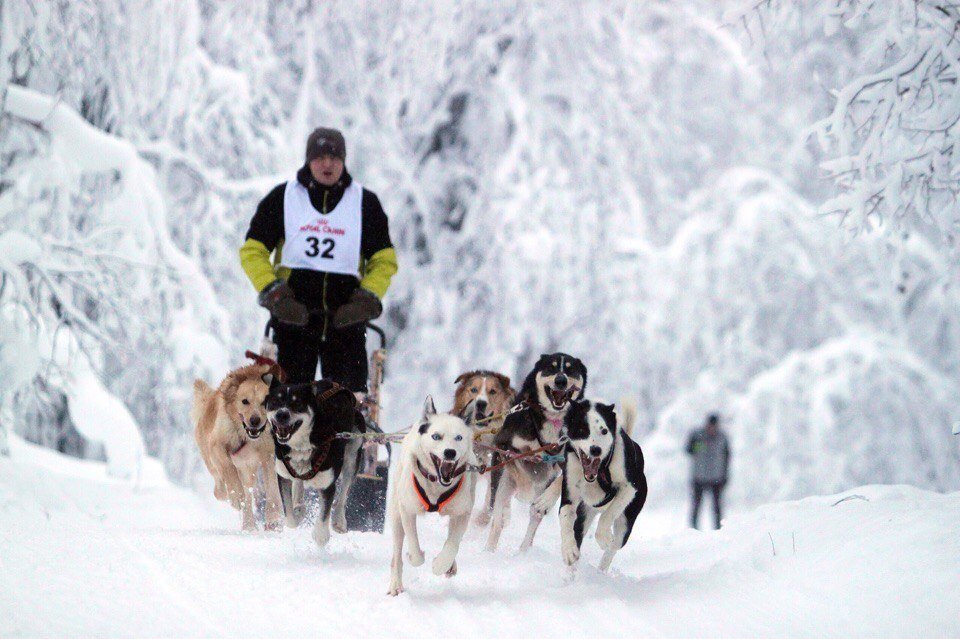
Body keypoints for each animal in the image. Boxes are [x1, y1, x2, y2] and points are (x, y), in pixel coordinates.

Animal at [193, 362, 284, 532]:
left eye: (265, 402)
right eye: (244, 401)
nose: (255, 420)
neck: (245, 436)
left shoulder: (267, 454)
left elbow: (272, 486)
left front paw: (273, 518)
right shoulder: (217, 445)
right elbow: (229, 469)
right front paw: (235, 496)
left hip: (248, 471)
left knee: (248, 495)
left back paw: (249, 525)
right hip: (211, 462)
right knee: (220, 487)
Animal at [388, 398, 478, 596]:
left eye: (458, 437)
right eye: (436, 436)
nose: (450, 452)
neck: (437, 486)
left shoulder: (462, 513)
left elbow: (452, 545)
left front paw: (440, 565)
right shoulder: (407, 510)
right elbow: (413, 544)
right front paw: (415, 556)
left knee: (452, 538)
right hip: (396, 515)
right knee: (396, 554)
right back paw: (395, 585)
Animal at [452, 370, 516, 524]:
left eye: (492, 391)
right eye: (473, 390)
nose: (480, 403)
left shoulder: (497, 465)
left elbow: (493, 494)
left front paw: (483, 519)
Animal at [560, 402, 648, 572]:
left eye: (604, 430)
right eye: (582, 430)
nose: (596, 449)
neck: (600, 470)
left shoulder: (628, 487)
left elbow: (608, 515)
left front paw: (603, 538)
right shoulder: (570, 494)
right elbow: (565, 517)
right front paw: (568, 551)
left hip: (625, 522)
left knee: (613, 548)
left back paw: (601, 568)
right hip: (584, 513)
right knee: (578, 533)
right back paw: (570, 573)